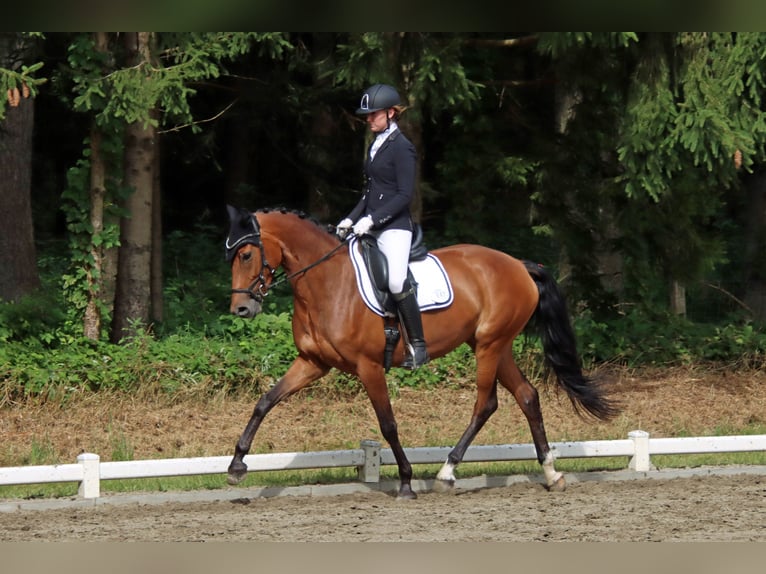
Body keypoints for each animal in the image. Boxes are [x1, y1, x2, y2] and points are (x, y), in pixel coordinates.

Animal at [224, 205, 618, 499]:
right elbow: (265, 402)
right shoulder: (313, 363)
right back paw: (551, 473)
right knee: (527, 396)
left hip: (490, 345)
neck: (326, 284)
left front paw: (405, 482)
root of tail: (519, 264)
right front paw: (236, 466)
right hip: (495, 344)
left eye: (246, 254)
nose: (241, 309)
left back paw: (447, 472)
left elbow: (388, 424)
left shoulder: (369, 367)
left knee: (486, 403)